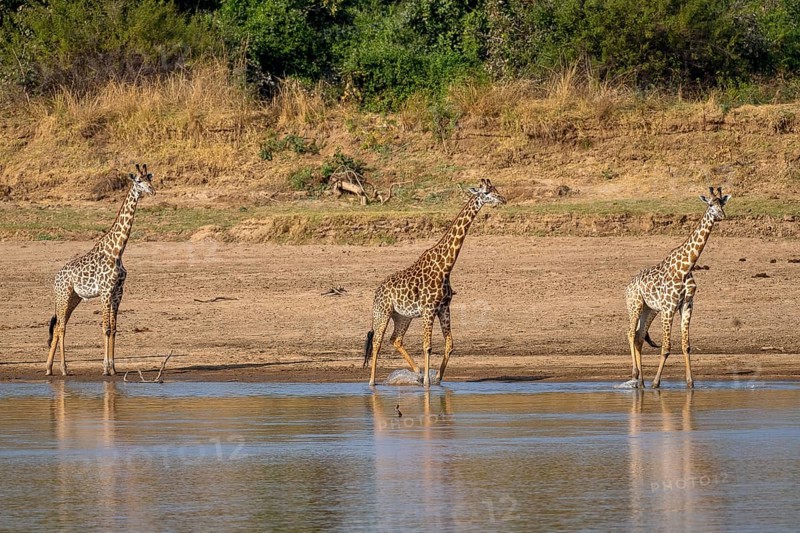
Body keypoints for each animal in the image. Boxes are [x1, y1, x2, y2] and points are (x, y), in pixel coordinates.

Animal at [46, 164, 155, 376]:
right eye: (139, 181)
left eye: (150, 179)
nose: (153, 191)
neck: (117, 251)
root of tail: (55, 278)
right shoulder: (105, 291)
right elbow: (106, 328)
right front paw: (105, 368)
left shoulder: (118, 292)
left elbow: (114, 328)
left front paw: (113, 368)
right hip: (64, 296)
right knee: (61, 328)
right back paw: (64, 369)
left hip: (74, 298)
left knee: (58, 327)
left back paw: (48, 368)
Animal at [364, 179, 506, 387]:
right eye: (487, 192)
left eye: (495, 189)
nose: (503, 199)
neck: (445, 266)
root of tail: (376, 292)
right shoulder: (429, 309)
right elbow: (428, 346)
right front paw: (427, 384)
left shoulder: (444, 308)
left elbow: (450, 345)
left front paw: (437, 378)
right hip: (382, 312)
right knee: (377, 343)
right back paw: (372, 382)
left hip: (402, 316)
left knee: (395, 339)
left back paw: (417, 371)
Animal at [625, 187, 731, 389]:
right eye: (710, 204)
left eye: (722, 203)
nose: (722, 216)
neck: (686, 267)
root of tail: (627, 286)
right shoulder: (669, 308)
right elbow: (666, 348)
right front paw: (656, 383)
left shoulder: (687, 305)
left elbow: (686, 345)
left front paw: (690, 383)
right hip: (635, 305)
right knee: (630, 333)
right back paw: (635, 374)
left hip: (649, 310)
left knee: (639, 337)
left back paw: (641, 381)